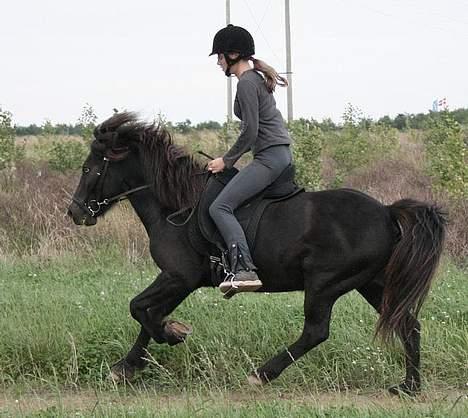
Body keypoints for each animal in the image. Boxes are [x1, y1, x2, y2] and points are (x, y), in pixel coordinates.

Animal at [66, 113, 446, 396]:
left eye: (87, 168)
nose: (76, 212)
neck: (176, 205)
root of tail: (386, 212)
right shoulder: (179, 280)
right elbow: (148, 313)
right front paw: (128, 366)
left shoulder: (178, 276)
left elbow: (140, 309)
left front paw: (171, 336)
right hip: (371, 283)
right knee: (408, 324)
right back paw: (409, 386)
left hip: (325, 285)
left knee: (316, 332)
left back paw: (260, 375)